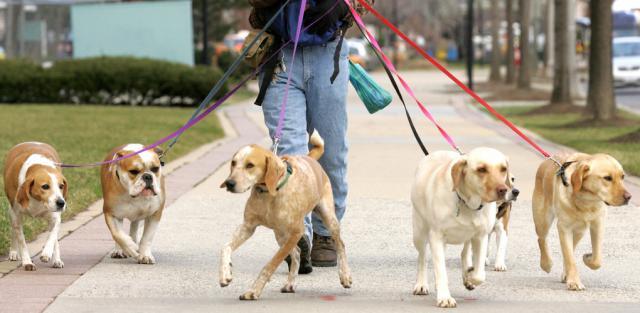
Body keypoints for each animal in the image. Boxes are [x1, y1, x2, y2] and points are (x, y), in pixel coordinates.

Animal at [219, 131, 350, 298]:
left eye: (250, 165)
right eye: (233, 163)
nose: (229, 183)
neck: (269, 193)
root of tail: (310, 158)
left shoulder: (297, 231)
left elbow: (271, 264)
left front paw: (254, 290)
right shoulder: (248, 227)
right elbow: (225, 248)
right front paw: (225, 274)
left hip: (328, 218)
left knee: (340, 245)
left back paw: (345, 275)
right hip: (281, 234)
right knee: (297, 253)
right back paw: (290, 284)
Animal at [416, 147, 510, 306]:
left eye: (503, 169)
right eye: (481, 169)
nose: (503, 190)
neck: (468, 204)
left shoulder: (481, 236)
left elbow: (480, 274)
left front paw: (469, 277)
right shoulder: (436, 237)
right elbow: (440, 271)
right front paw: (444, 297)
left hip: (469, 237)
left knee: (464, 253)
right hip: (419, 233)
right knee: (422, 258)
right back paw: (421, 284)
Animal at [532, 152, 632, 288]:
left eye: (622, 177)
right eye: (607, 178)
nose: (629, 197)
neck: (586, 200)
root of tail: (549, 158)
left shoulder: (598, 225)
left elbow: (597, 259)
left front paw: (587, 258)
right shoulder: (564, 228)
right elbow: (570, 258)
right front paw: (574, 282)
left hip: (579, 231)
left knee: (570, 250)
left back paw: (566, 273)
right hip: (543, 220)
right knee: (542, 239)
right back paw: (546, 264)